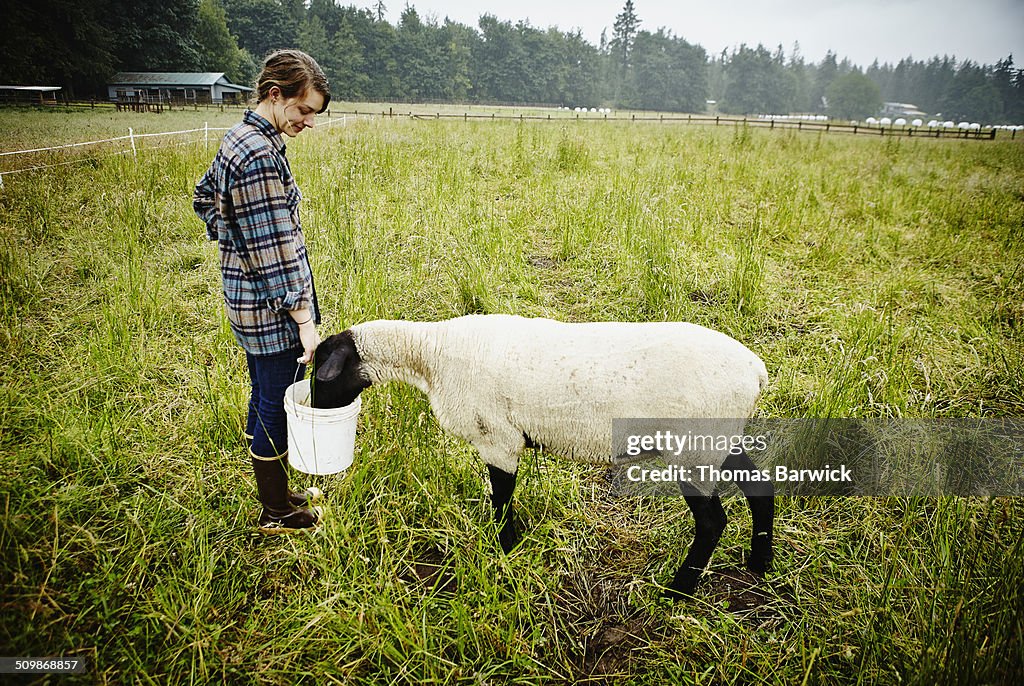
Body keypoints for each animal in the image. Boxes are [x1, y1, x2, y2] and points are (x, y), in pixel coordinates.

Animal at [313, 315, 774, 597]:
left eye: (321, 375)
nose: (314, 412)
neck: (430, 356)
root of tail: (756, 370)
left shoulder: (498, 439)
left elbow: (501, 499)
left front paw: (505, 550)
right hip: (720, 439)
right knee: (761, 488)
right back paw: (759, 562)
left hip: (694, 446)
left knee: (712, 522)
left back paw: (679, 590)